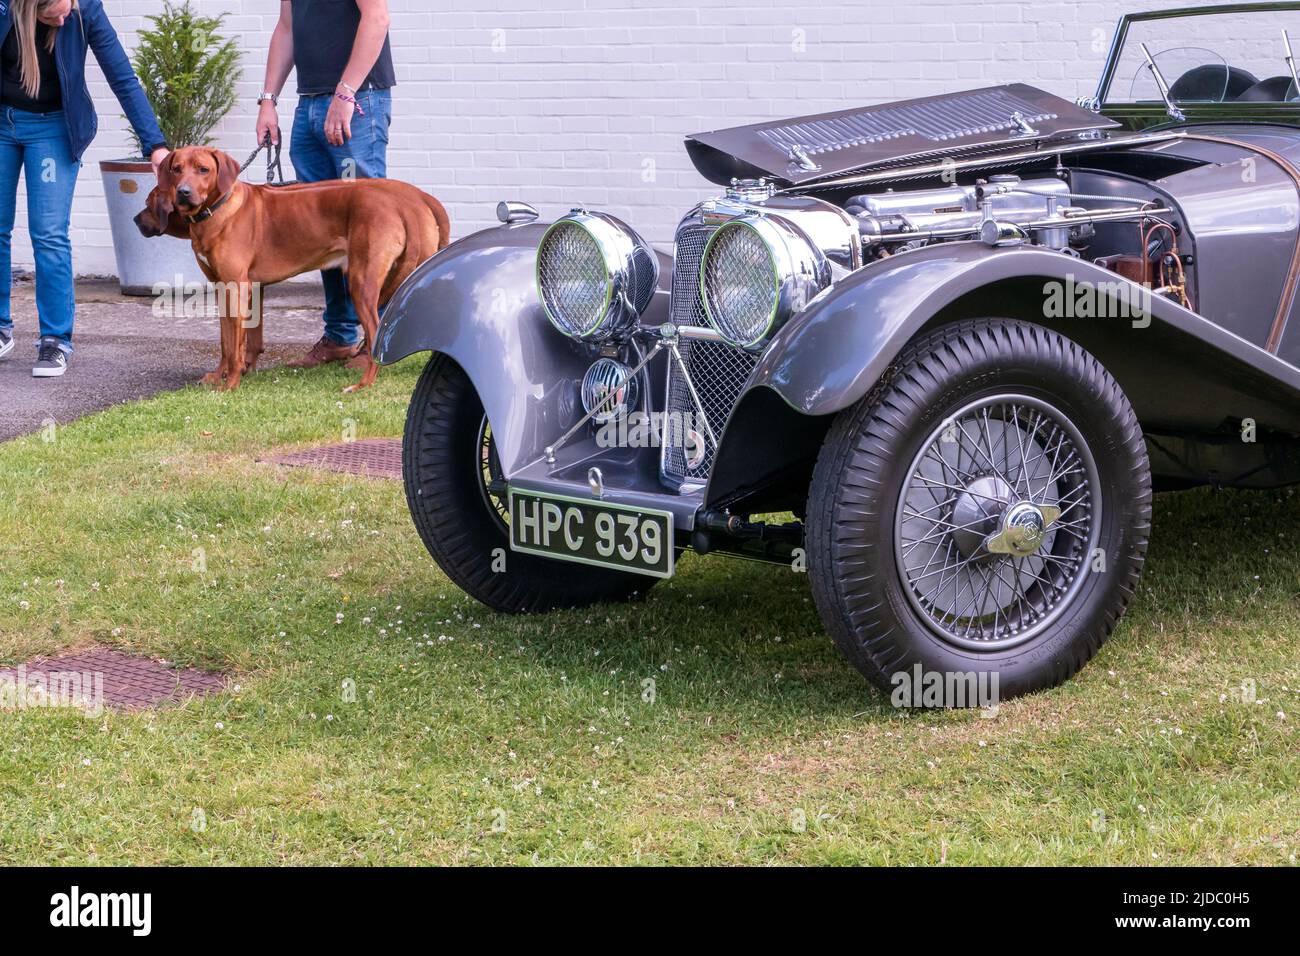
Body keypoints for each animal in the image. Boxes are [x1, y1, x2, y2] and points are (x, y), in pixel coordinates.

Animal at [139, 145, 449, 390]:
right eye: (176, 169)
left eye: (203, 169)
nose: (183, 192)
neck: (216, 210)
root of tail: (414, 198)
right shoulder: (233, 288)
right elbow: (230, 340)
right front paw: (223, 375)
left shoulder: (236, 286)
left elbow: (235, 342)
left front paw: (231, 384)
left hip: (363, 281)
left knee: (375, 333)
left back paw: (363, 384)